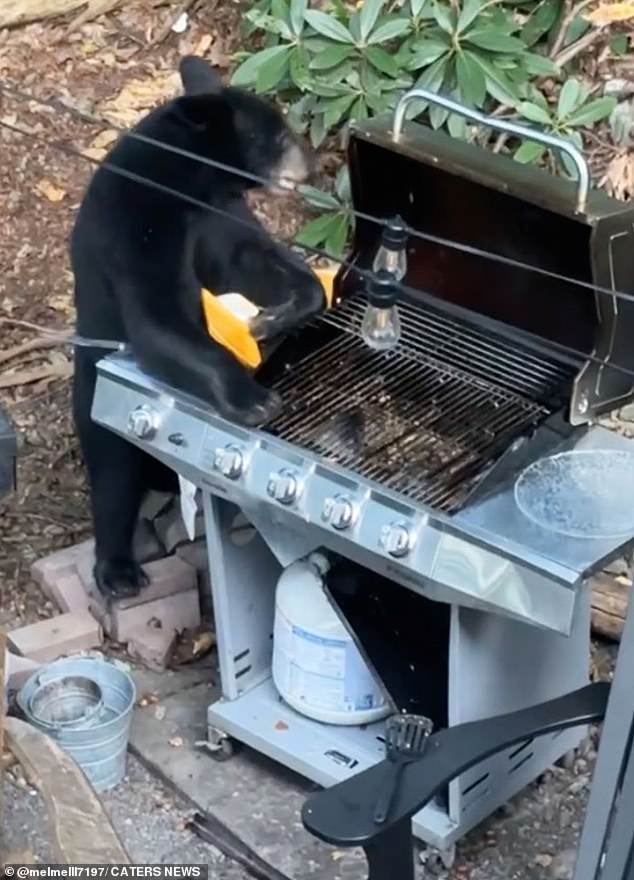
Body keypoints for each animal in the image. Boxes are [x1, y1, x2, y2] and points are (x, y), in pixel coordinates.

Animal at [71, 55, 324, 600]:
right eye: (275, 136)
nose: (311, 165)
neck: (185, 182)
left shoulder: (216, 215)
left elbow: (249, 259)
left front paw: (280, 312)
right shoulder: (135, 227)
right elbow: (158, 316)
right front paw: (254, 400)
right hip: (93, 394)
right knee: (113, 471)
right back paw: (118, 570)